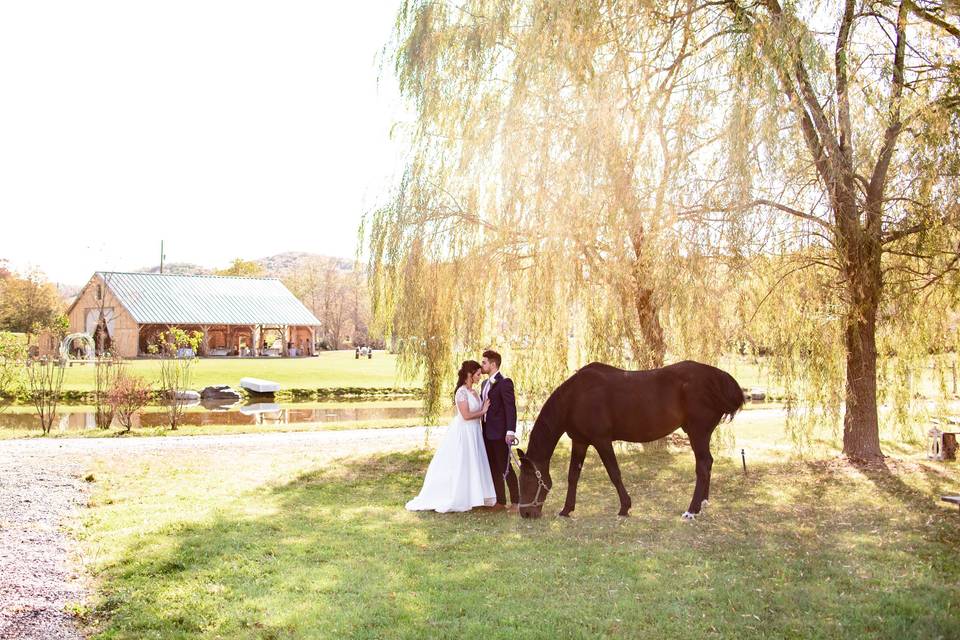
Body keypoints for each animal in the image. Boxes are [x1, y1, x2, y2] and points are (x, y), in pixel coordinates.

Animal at [516, 360, 752, 520]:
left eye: (527, 479)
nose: (525, 513)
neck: (574, 398)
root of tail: (717, 376)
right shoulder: (580, 442)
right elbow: (573, 476)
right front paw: (566, 510)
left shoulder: (601, 441)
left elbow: (614, 473)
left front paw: (624, 507)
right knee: (708, 463)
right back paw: (703, 503)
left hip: (698, 433)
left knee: (703, 466)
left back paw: (692, 510)